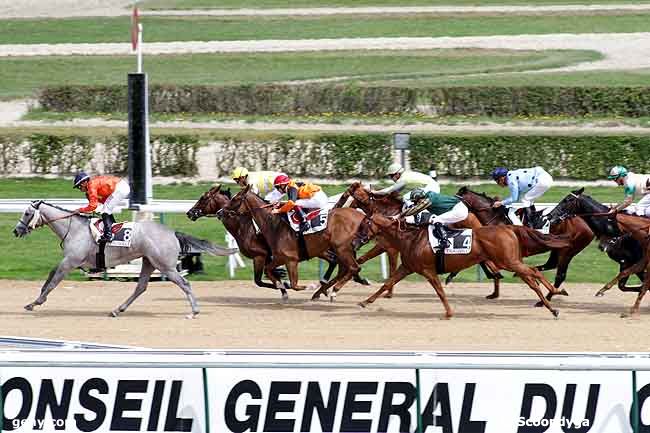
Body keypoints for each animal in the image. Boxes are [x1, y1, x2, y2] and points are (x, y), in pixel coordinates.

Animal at [13, 200, 235, 318]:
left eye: (27, 213)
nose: (16, 231)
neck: (74, 229)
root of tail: (172, 233)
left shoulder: (71, 261)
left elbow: (53, 282)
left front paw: (35, 303)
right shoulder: (68, 261)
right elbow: (50, 277)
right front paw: (36, 300)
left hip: (166, 266)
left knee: (185, 284)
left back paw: (194, 311)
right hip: (149, 262)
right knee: (141, 287)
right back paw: (117, 310)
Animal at [356, 213, 568, 318]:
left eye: (362, 225)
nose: (356, 241)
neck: (410, 238)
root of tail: (509, 228)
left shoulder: (427, 270)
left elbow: (440, 291)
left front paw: (449, 313)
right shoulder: (407, 267)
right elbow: (387, 284)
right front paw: (365, 301)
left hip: (509, 261)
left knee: (534, 272)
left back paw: (556, 293)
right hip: (512, 261)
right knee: (532, 279)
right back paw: (551, 306)